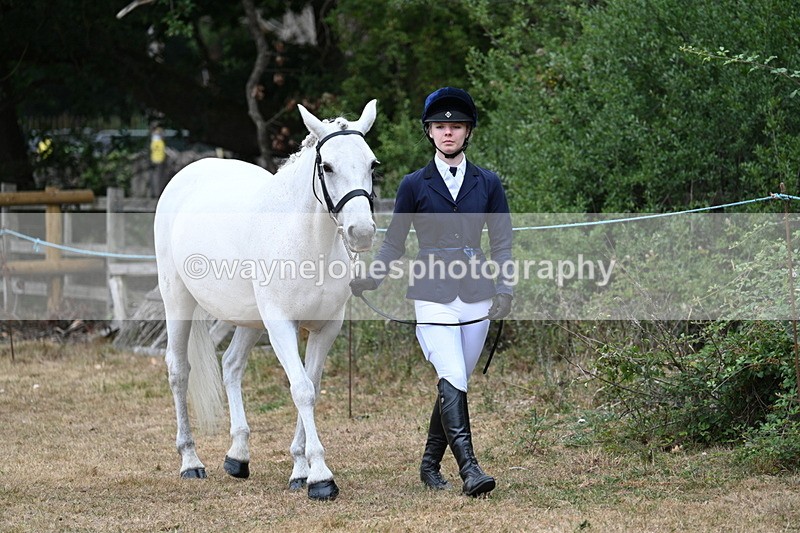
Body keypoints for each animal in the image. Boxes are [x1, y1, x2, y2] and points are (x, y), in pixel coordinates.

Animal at [153, 100, 379, 500]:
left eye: (371, 164)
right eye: (327, 166)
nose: (362, 232)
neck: (306, 241)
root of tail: (191, 170)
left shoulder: (326, 328)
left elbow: (311, 386)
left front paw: (301, 470)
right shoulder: (280, 324)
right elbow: (302, 390)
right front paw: (321, 478)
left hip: (249, 319)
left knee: (231, 365)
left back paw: (237, 456)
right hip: (178, 301)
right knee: (179, 370)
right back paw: (191, 462)